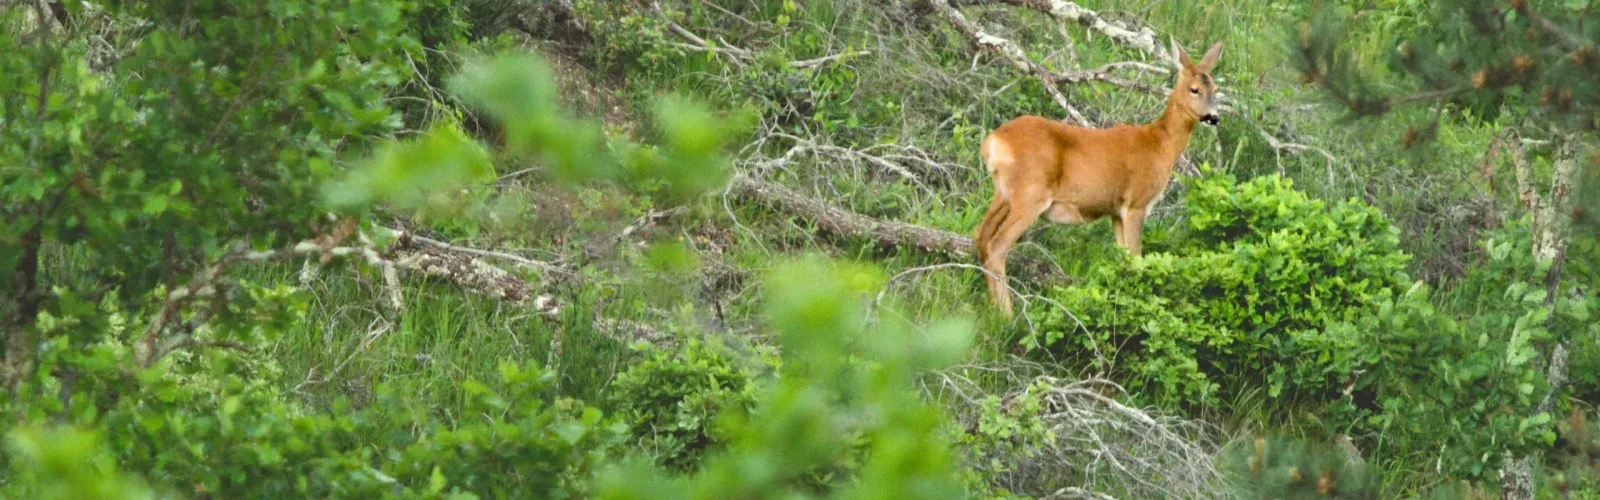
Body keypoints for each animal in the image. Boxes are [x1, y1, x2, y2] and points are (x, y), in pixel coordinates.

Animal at [974, 39, 1224, 316]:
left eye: (1215, 89)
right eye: (1194, 89)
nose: (1214, 117)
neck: (1160, 145)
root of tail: (993, 141)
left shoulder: (1115, 212)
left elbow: (1124, 260)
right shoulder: (1136, 203)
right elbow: (1137, 257)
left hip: (1003, 193)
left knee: (981, 237)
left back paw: (994, 309)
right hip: (1030, 194)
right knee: (997, 246)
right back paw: (1008, 315)